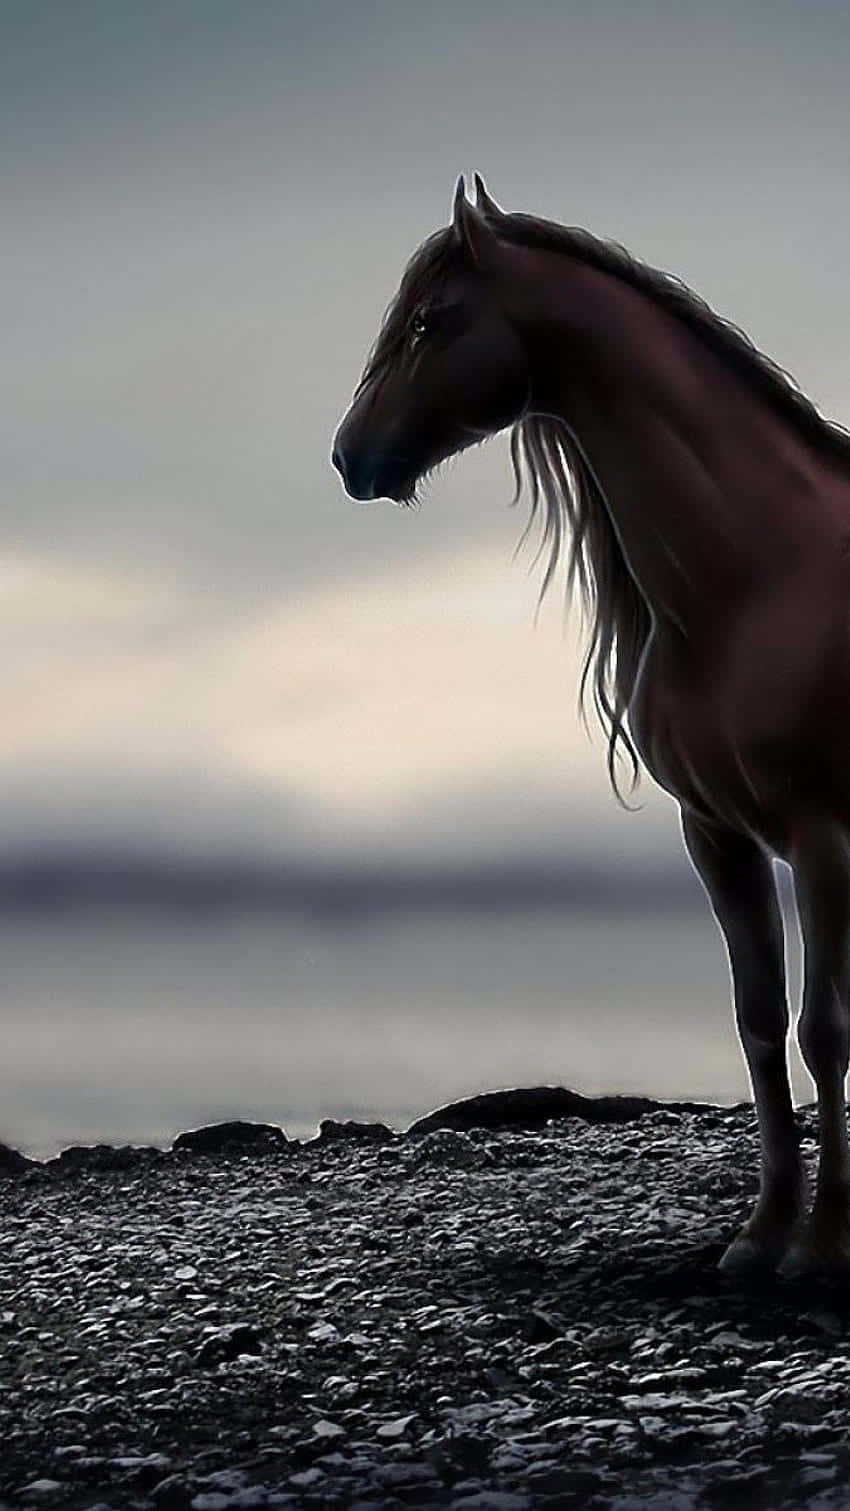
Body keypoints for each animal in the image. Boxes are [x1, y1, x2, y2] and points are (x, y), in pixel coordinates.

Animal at [330, 179, 850, 1287]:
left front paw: (825, 1241)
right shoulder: (718, 835)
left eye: (430, 319)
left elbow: (824, 1028)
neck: (761, 577)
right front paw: (761, 1231)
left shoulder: (825, 839)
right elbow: (757, 1023)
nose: (349, 452)